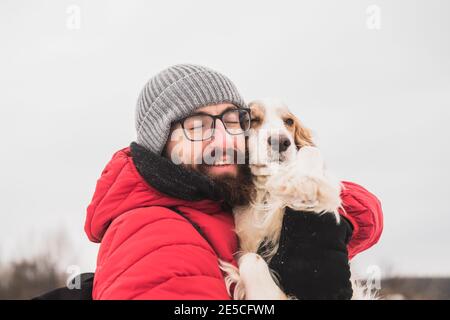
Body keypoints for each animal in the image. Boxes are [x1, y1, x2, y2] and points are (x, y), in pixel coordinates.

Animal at [220, 98, 350, 300]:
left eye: (289, 121)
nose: (280, 142)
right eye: (252, 119)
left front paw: (307, 181)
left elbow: (310, 151)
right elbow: (252, 259)